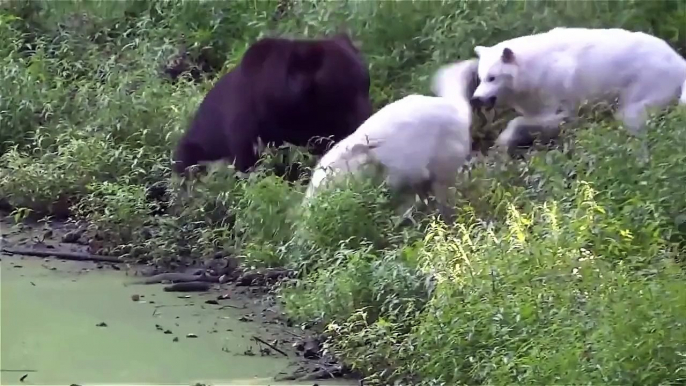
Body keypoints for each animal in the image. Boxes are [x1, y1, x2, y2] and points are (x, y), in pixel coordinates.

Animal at [470, 26, 686, 149]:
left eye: (492, 78)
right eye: (481, 79)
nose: (475, 99)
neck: (534, 69)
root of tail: (680, 62)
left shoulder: (563, 113)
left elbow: (515, 122)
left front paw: (502, 143)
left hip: (631, 111)